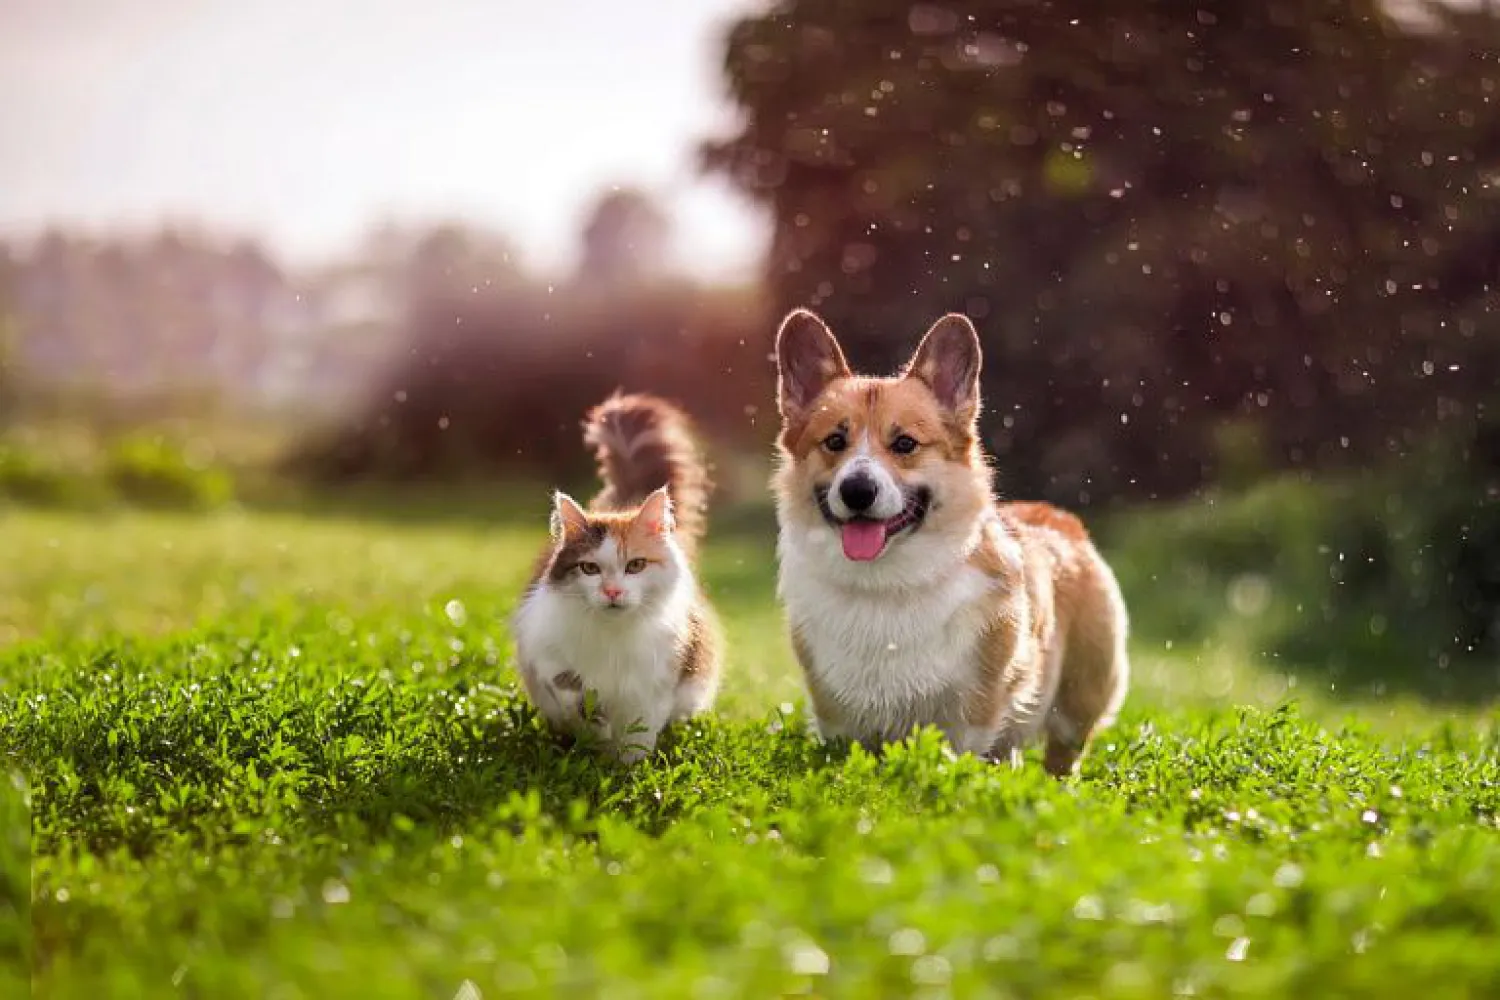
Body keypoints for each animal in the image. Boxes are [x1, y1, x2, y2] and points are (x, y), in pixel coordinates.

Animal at [513, 389, 723, 767]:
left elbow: (637, 736)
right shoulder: (545, 653)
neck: (613, 636)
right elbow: (573, 692)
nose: (612, 591)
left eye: (635, 566)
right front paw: (594, 733)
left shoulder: (655, 683)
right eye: (590, 569)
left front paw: (625, 770)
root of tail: (624, 503)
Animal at [774, 308, 1128, 779]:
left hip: (1078, 702)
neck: (885, 585)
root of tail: (1059, 518)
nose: (857, 490)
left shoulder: (972, 713)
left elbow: (959, 754)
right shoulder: (836, 716)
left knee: (1062, 756)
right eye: (834, 441)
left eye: (905, 443)